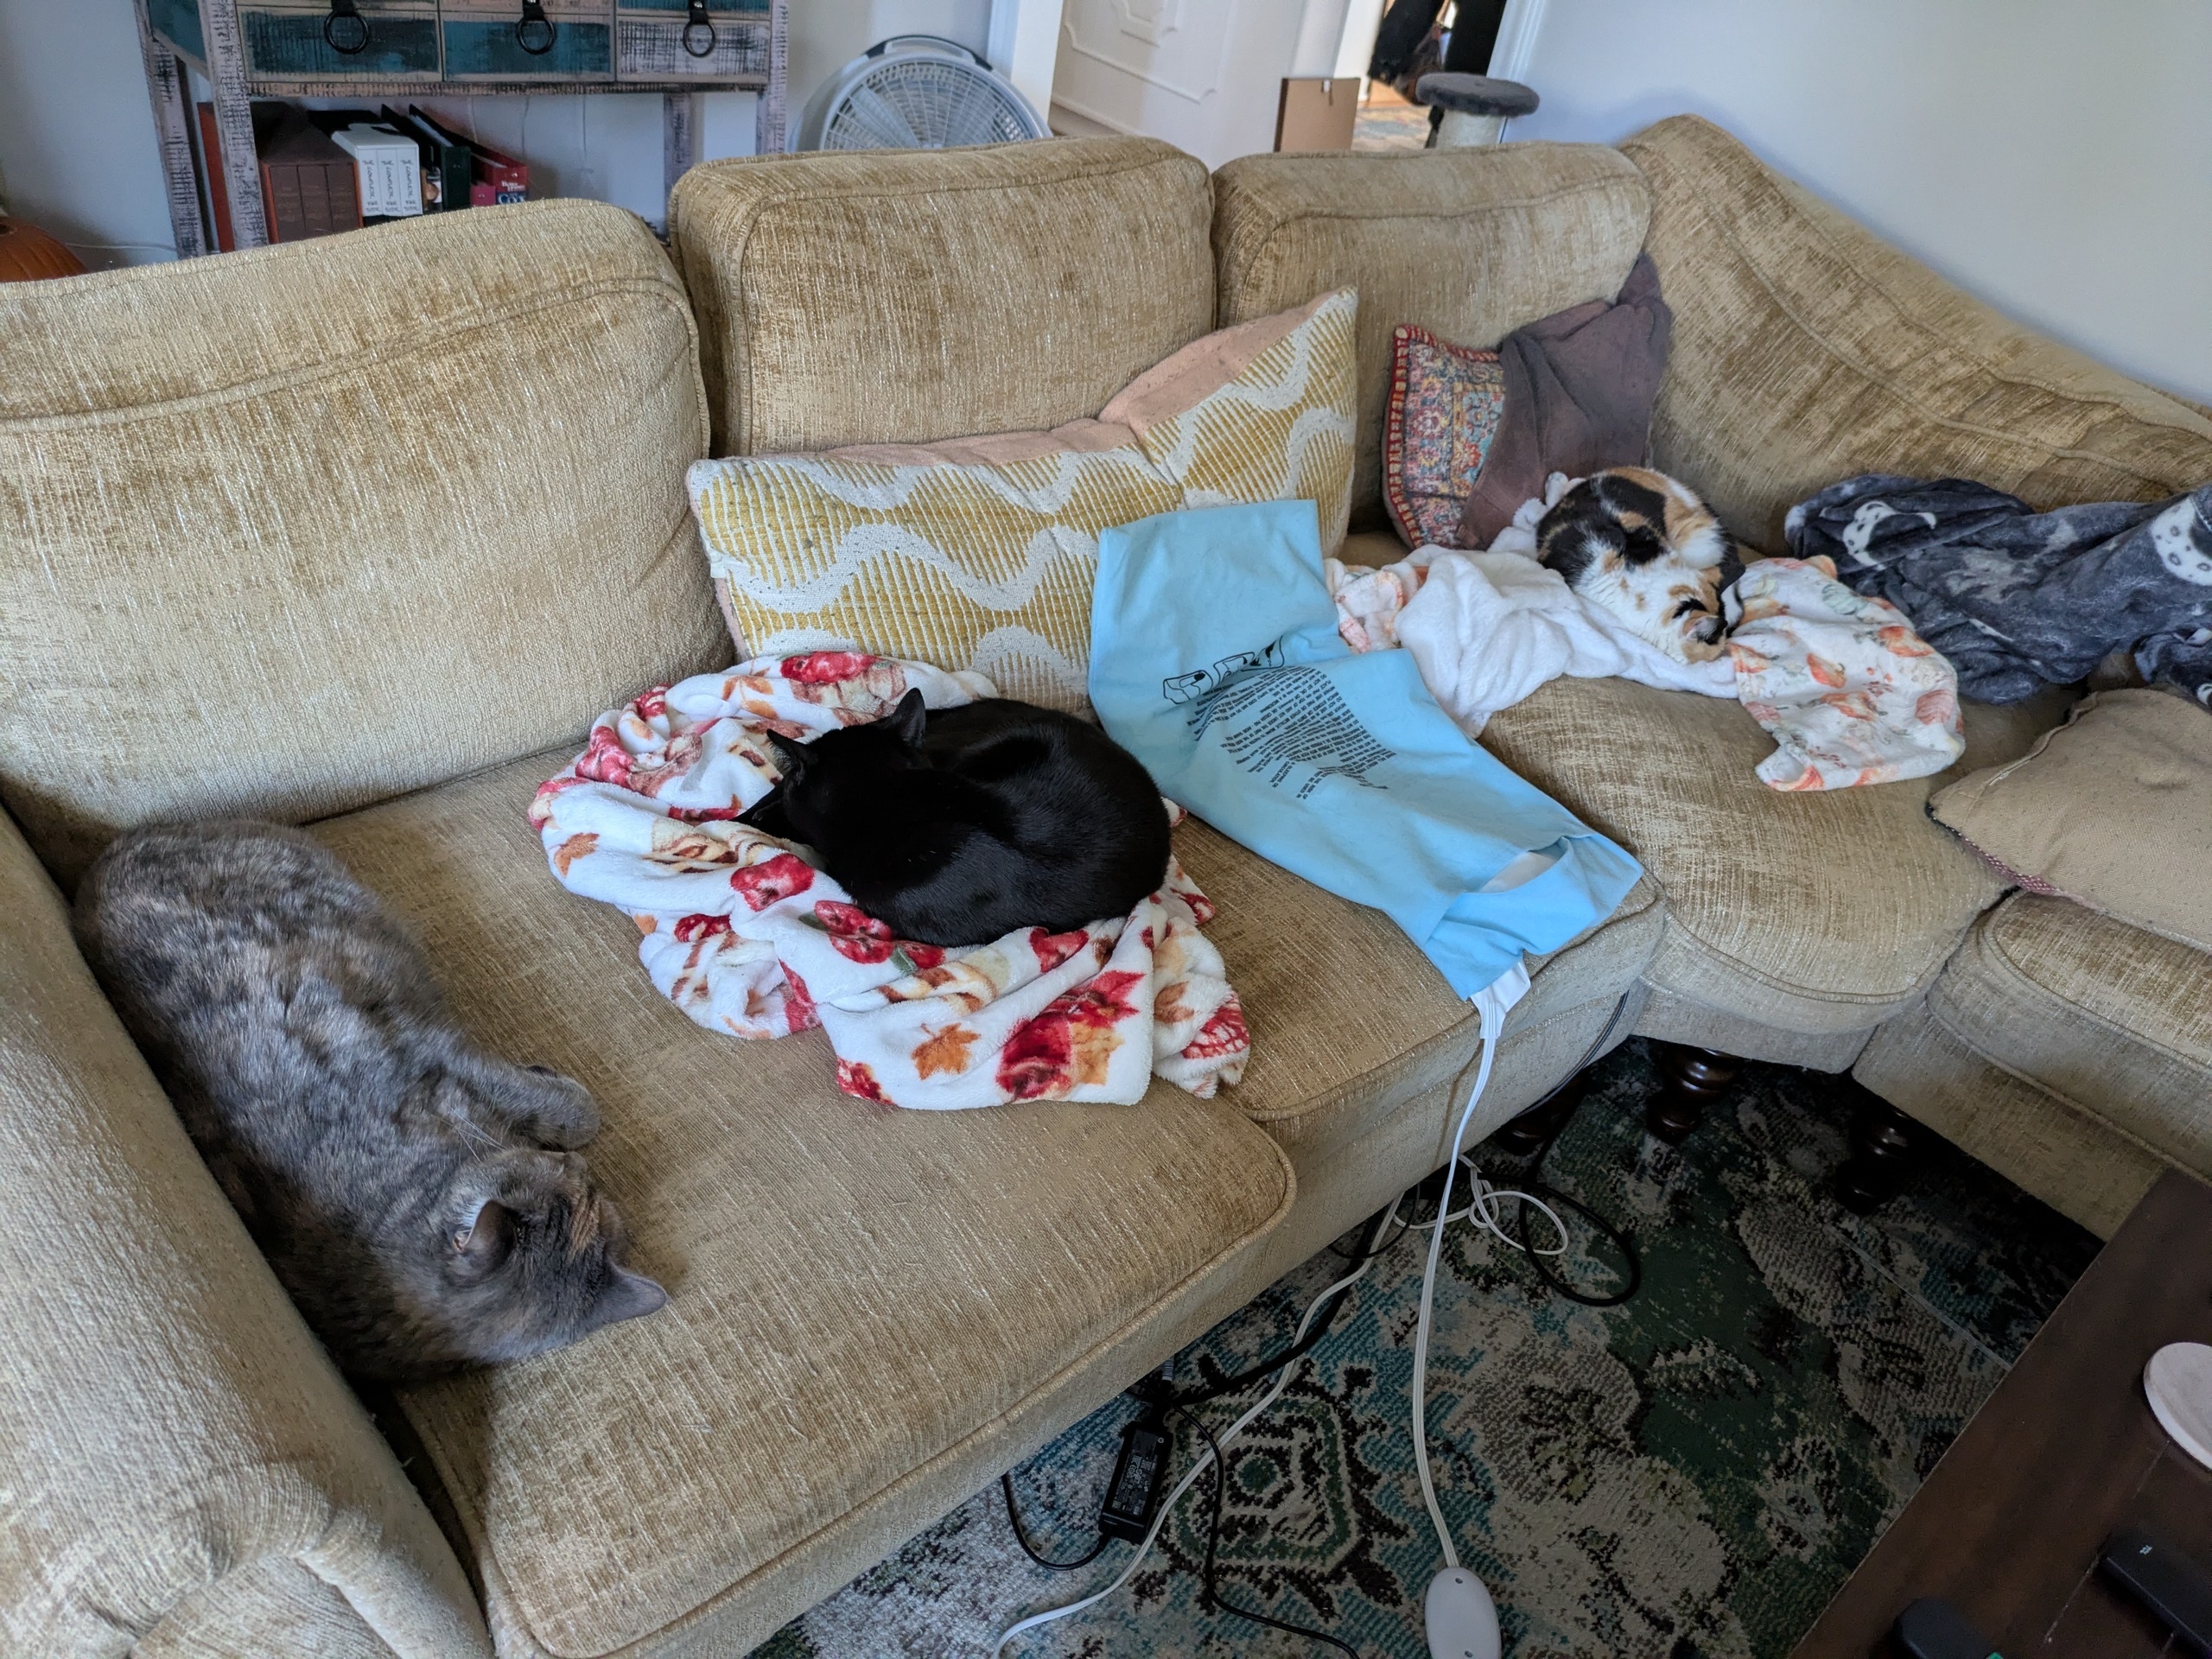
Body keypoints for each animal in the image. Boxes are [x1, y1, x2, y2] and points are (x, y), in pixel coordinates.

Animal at [73, 819, 665, 1382]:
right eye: (561, 1173)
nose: (576, 1165)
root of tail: (114, 849)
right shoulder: (437, 1061)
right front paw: (565, 1104)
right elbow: (576, 1110)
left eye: (589, 1188)